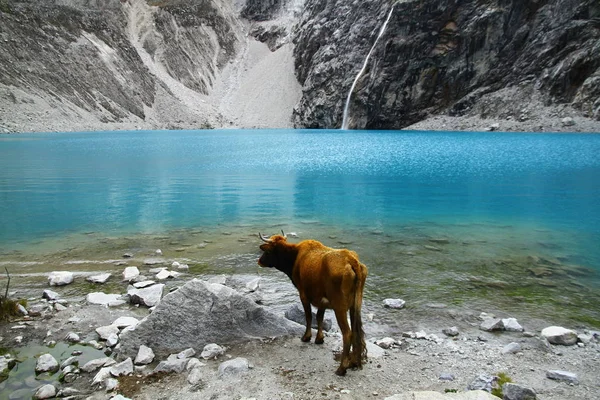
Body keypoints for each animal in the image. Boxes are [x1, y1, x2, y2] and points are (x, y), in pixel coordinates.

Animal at [256, 231, 366, 376]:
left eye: (267, 251)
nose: (259, 261)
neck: (294, 257)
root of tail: (351, 259)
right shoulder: (322, 300)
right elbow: (319, 317)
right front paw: (319, 338)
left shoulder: (303, 294)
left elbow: (308, 316)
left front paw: (306, 337)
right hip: (355, 305)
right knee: (356, 330)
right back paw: (353, 362)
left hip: (340, 307)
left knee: (347, 333)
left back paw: (342, 368)